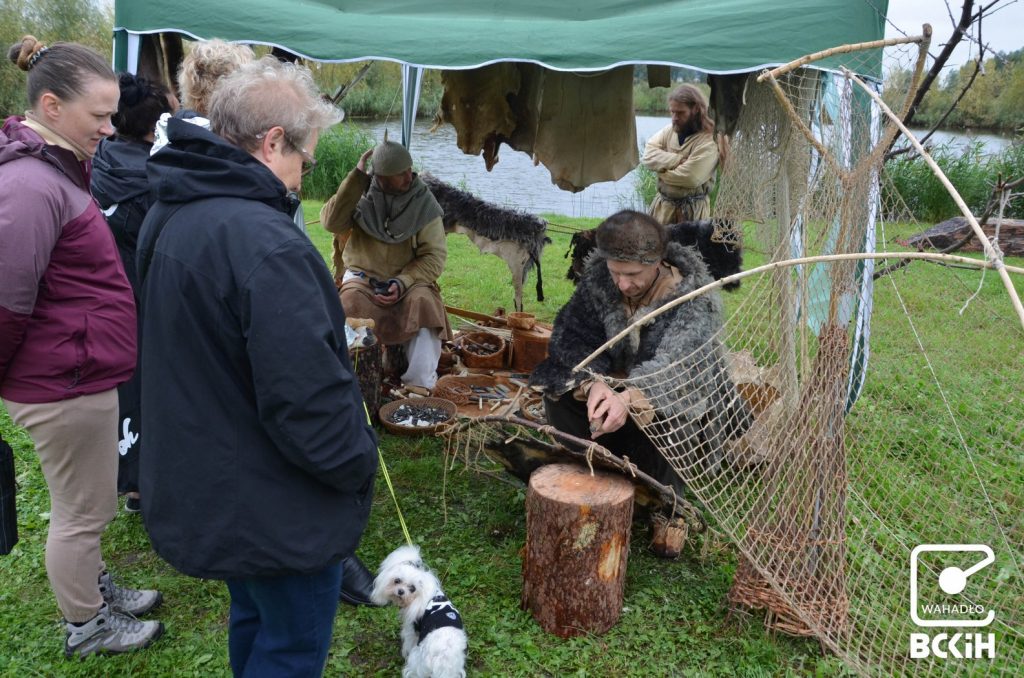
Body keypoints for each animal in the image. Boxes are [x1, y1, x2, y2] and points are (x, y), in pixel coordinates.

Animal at [372, 548, 468, 678]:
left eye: (412, 588)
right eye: (397, 580)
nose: (400, 591)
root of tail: (442, 658)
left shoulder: (412, 629)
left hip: (418, 660)